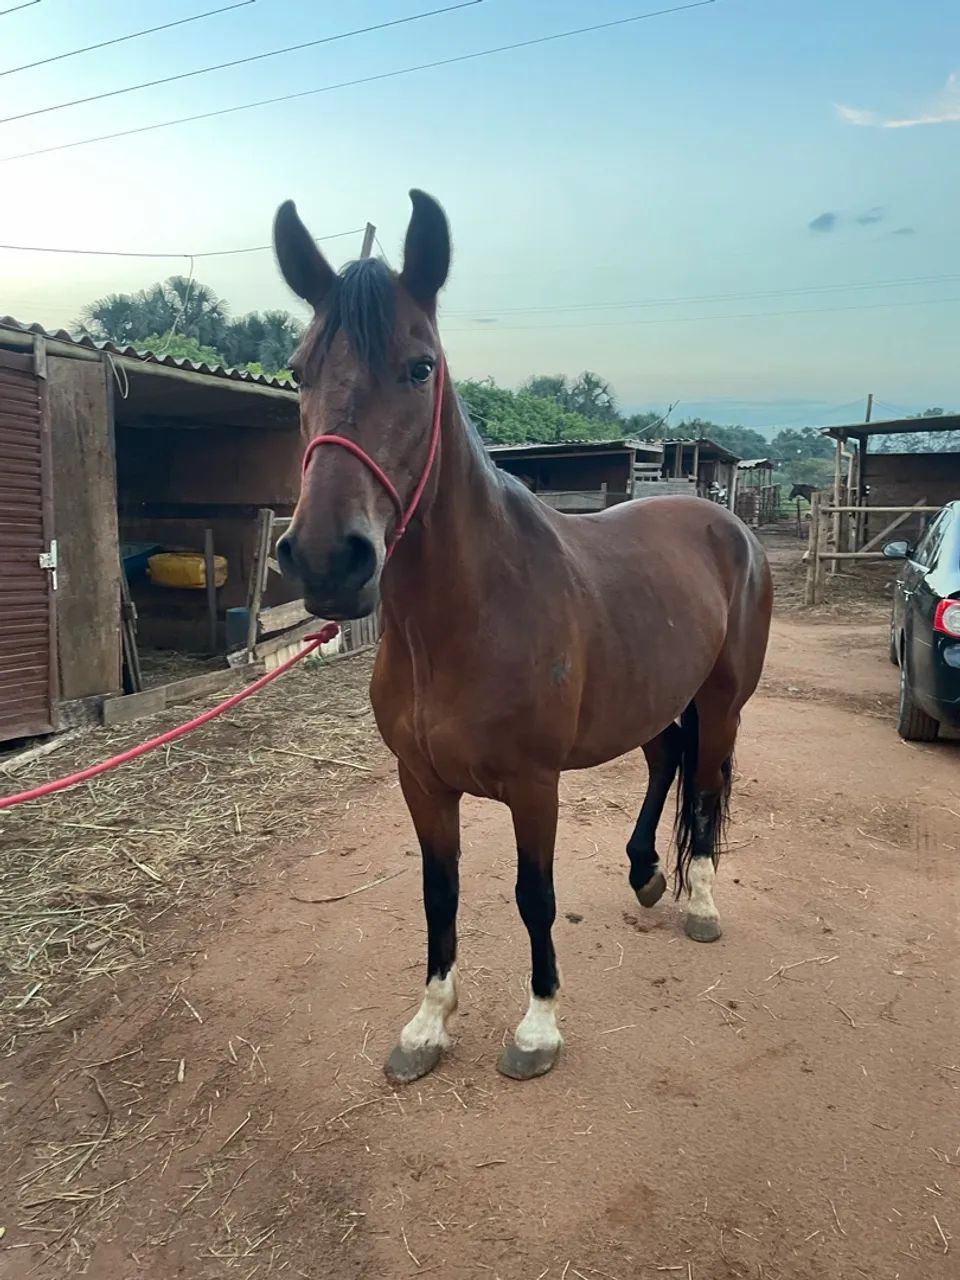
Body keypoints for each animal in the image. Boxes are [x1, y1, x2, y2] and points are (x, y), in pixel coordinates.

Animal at [273, 191, 773, 1084]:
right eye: (298, 370)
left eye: (420, 366)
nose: (329, 557)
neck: (464, 621)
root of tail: (729, 524)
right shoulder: (421, 783)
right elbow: (439, 894)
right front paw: (428, 1026)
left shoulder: (535, 786)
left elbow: (532, 896)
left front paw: (538, 1027)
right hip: (652, 699)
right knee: (665, 764)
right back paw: (646, 872)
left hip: (722, 703)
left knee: (707, 787)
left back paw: (701, 902)